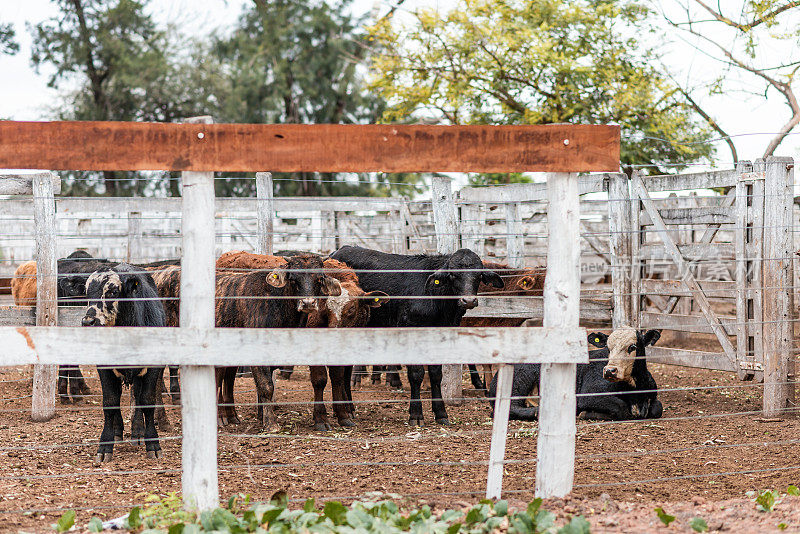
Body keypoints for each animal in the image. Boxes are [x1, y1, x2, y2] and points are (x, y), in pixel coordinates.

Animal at [80, 262, 166, 462]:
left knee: (137, 396)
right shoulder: (104, 367)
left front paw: (153, 442)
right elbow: (110, 401)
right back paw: (117, 431)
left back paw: (138, 432)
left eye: (112, 291)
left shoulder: (153, 367)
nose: (88, 321)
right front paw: (105, 445)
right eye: (87, 293)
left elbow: (147, 400)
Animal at [214, 251, 386, 432]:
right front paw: (320, 419)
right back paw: (222, 417)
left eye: (352, 309)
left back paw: (231, 415)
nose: (308, 303)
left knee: (228, 375)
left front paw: (343, 416)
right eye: (293, 278)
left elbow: (338, 378)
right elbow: (317, 380)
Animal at [328, 246, 504, 428]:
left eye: (478, 275)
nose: (468, 301)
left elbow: (436, 374)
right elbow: (416, 374)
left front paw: (441, 413)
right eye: (452, 275)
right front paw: (416, 414)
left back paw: (349, 408)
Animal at [488, 326, 664, 422]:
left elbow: (657, 408)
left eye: (632, 347)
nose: (609, 371)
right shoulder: (589, 393)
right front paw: (585, 413)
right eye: (607, 348)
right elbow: (621, 408)